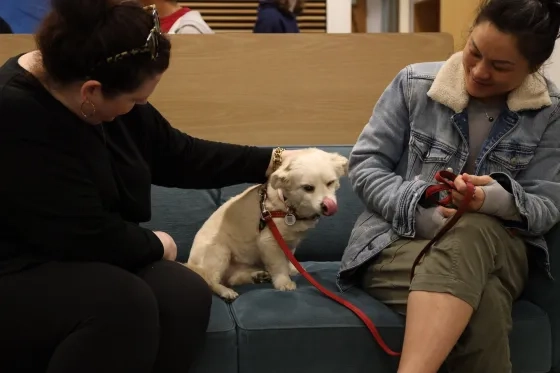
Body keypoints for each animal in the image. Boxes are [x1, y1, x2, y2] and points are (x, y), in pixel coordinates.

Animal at [186, 147, 348, 300]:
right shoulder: (269, 241)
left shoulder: (290, 241)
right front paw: (284, 282)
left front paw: (291, 268)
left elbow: (289, 256)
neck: (288, 207)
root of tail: (191, 265)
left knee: (233, 278)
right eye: (308, 188)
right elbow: (279, 264)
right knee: (210, 281)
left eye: (330, 183)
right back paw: (225, 291)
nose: (327, 205)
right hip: (220, 252)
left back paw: (257, 276)